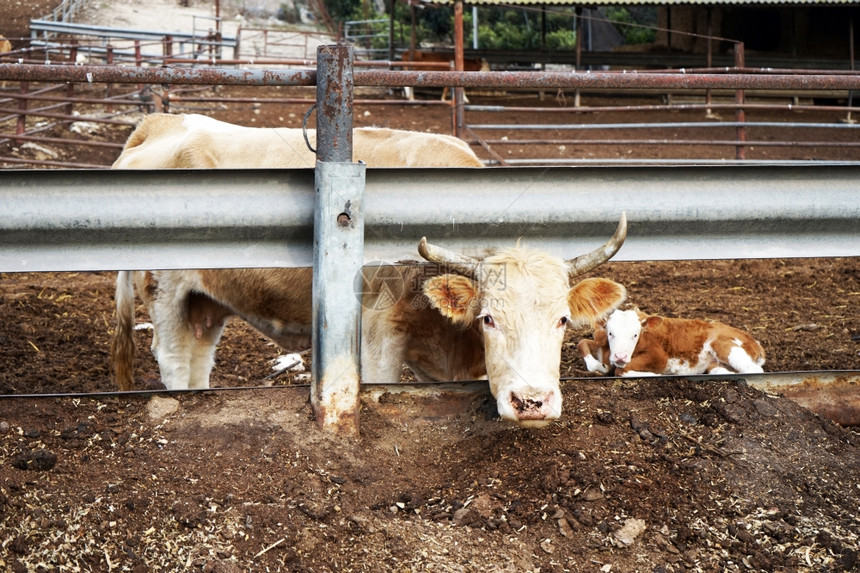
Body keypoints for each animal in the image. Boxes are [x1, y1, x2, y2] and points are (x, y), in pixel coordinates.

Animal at [111, 113, 628, 424]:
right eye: (489, 319)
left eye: (562, 320)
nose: (533, 402)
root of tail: (162, 123)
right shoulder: (379, 339)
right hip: (166, 294)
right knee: (175, 361)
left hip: (206, 305)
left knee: (197, 362)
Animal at [576, 308, 764, 376]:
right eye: (610, 333)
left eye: (635, 335)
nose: (620, 356)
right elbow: (581, 343)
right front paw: (597, 366)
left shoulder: (659, 357)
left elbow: (621, 370)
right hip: (714, 364)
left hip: (725, 346)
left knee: (753, 370)